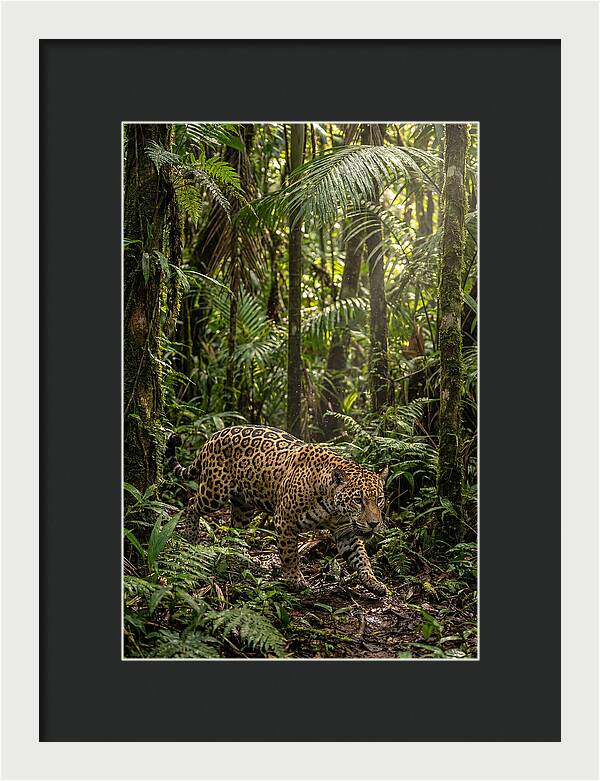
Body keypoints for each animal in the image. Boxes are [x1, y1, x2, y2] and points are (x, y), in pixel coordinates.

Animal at [166, 425, 390, 596]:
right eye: (358, 500)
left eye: (379, 500)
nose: (374, 524)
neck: (332, 507)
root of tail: (213, 436)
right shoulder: (285, 521)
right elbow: (290, 554)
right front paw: (295, 581)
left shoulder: (346, 531)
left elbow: (361, 557)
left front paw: (374, 582)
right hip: (214, 492)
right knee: (191, 504)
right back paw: (191, 536)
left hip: (243, 505)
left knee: (236, 527)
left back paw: (238, 554)